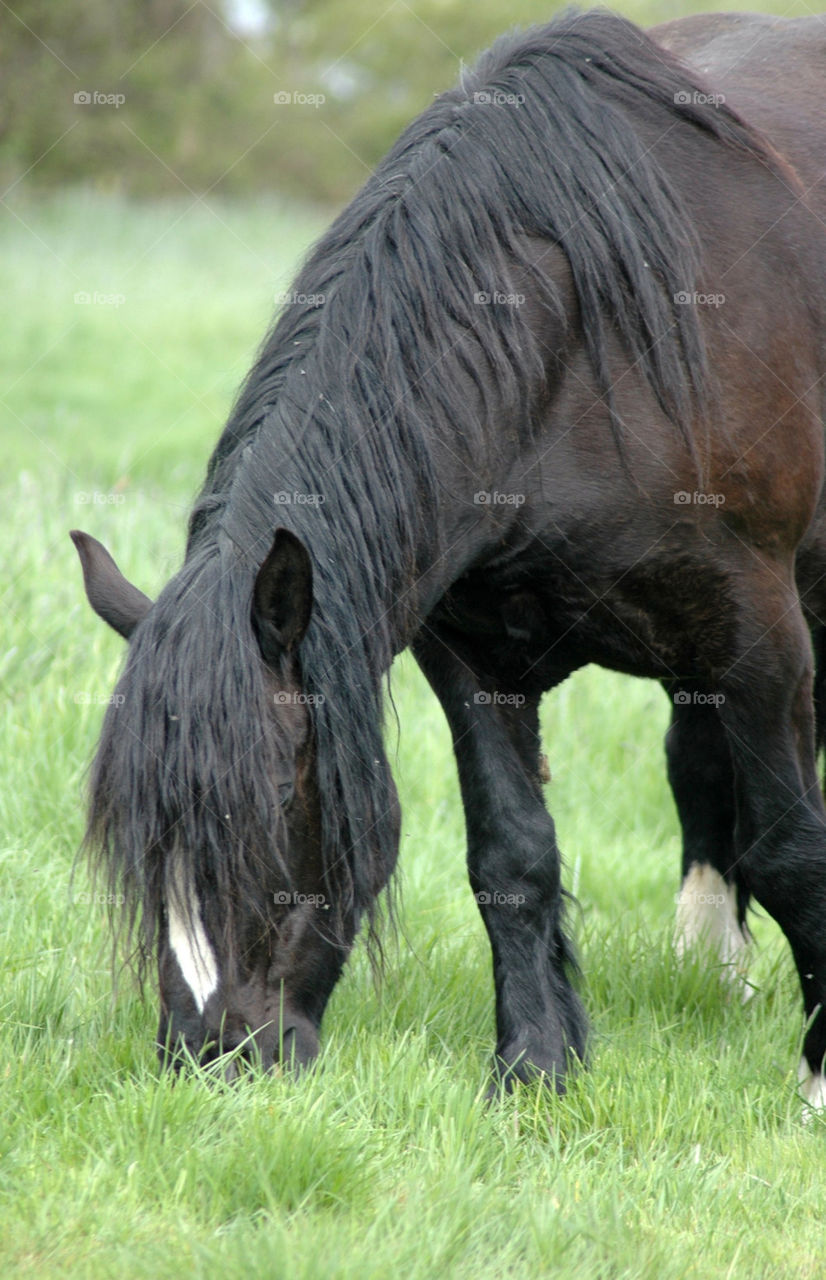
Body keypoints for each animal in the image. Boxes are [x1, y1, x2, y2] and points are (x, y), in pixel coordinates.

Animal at [72, 10, 824, 1105]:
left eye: (268, 808)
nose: (211, 1056)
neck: (575, 348)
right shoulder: (470, 652)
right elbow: (511, 856)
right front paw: (534, 1069)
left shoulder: (756, 629)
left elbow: (791, 847)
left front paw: (819, 1074)